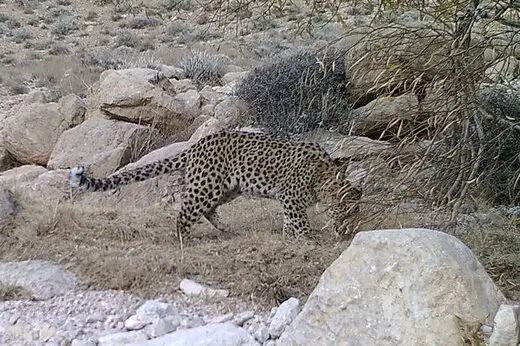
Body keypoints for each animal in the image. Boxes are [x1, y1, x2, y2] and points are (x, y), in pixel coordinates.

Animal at [68, 130, 362, 238]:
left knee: (208, 210)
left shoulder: (289, 202)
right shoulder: (290, 197)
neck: (322, 175)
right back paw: (185, 240)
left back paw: (227, 228)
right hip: (206, 187)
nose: (350, 229)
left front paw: (290, 237)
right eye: (346, 209)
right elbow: (300, 222)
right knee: (185, 213)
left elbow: (291, 222)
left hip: (229, 188)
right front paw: (309, 239)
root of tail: (197, 144)